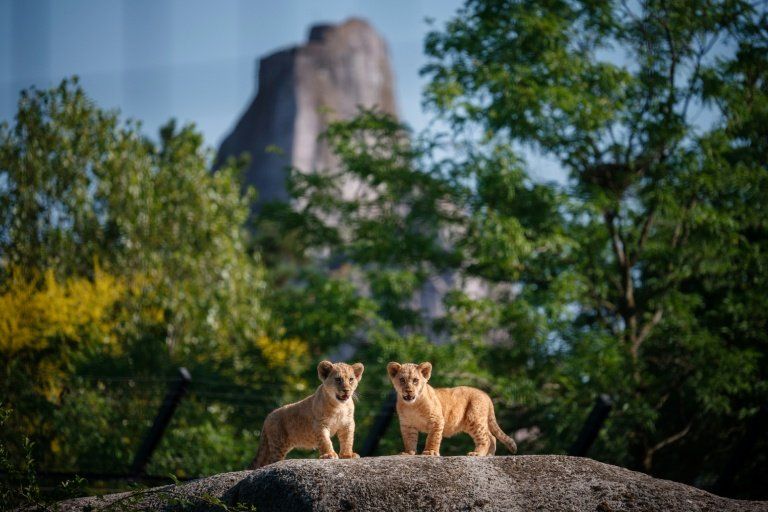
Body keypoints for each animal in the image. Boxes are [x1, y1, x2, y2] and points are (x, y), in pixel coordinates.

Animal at [387, 361, 517, 456]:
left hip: (474, 418)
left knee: (485, 438)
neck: (412, 405)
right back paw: (489, 455)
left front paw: (430, 452)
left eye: (415, 380)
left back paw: (477, 454)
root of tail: (485, 395)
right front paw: (408, 453)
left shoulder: (437, 420)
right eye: (402, 380)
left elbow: (433, 437)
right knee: (491, 436)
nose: (408, 391)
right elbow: (409, 440)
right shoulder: (407, 425)